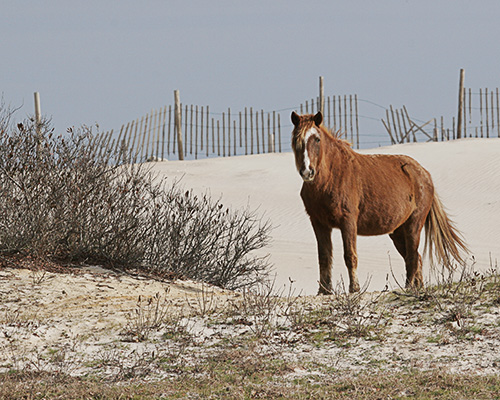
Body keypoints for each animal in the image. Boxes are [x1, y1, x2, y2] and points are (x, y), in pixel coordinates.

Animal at [292, 111, 466, 294]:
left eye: (317, 139)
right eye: (296, 139)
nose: (307, 171)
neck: (332, 176)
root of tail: (424, 174)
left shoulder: (348, 221)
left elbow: (350, 255)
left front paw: (354, 288)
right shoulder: (319, 223)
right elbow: (324, 257)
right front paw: (324, 291)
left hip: (413, 225)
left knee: (412, 256)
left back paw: (407, 287)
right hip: (397, 232)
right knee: (415, 257)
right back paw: (417, 287)